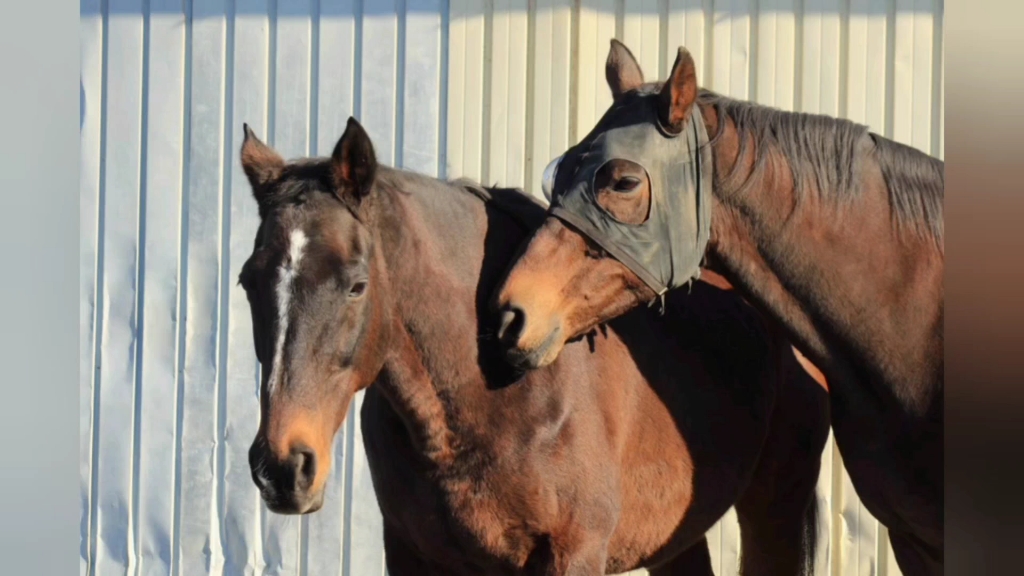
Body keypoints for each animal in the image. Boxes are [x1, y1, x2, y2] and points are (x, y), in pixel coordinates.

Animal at [235, 117, 827, 573]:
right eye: (247, 281)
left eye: (356, 284)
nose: (282, 468)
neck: (494, 387)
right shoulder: (412, 553)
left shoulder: (572, 552)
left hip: (774, 507)